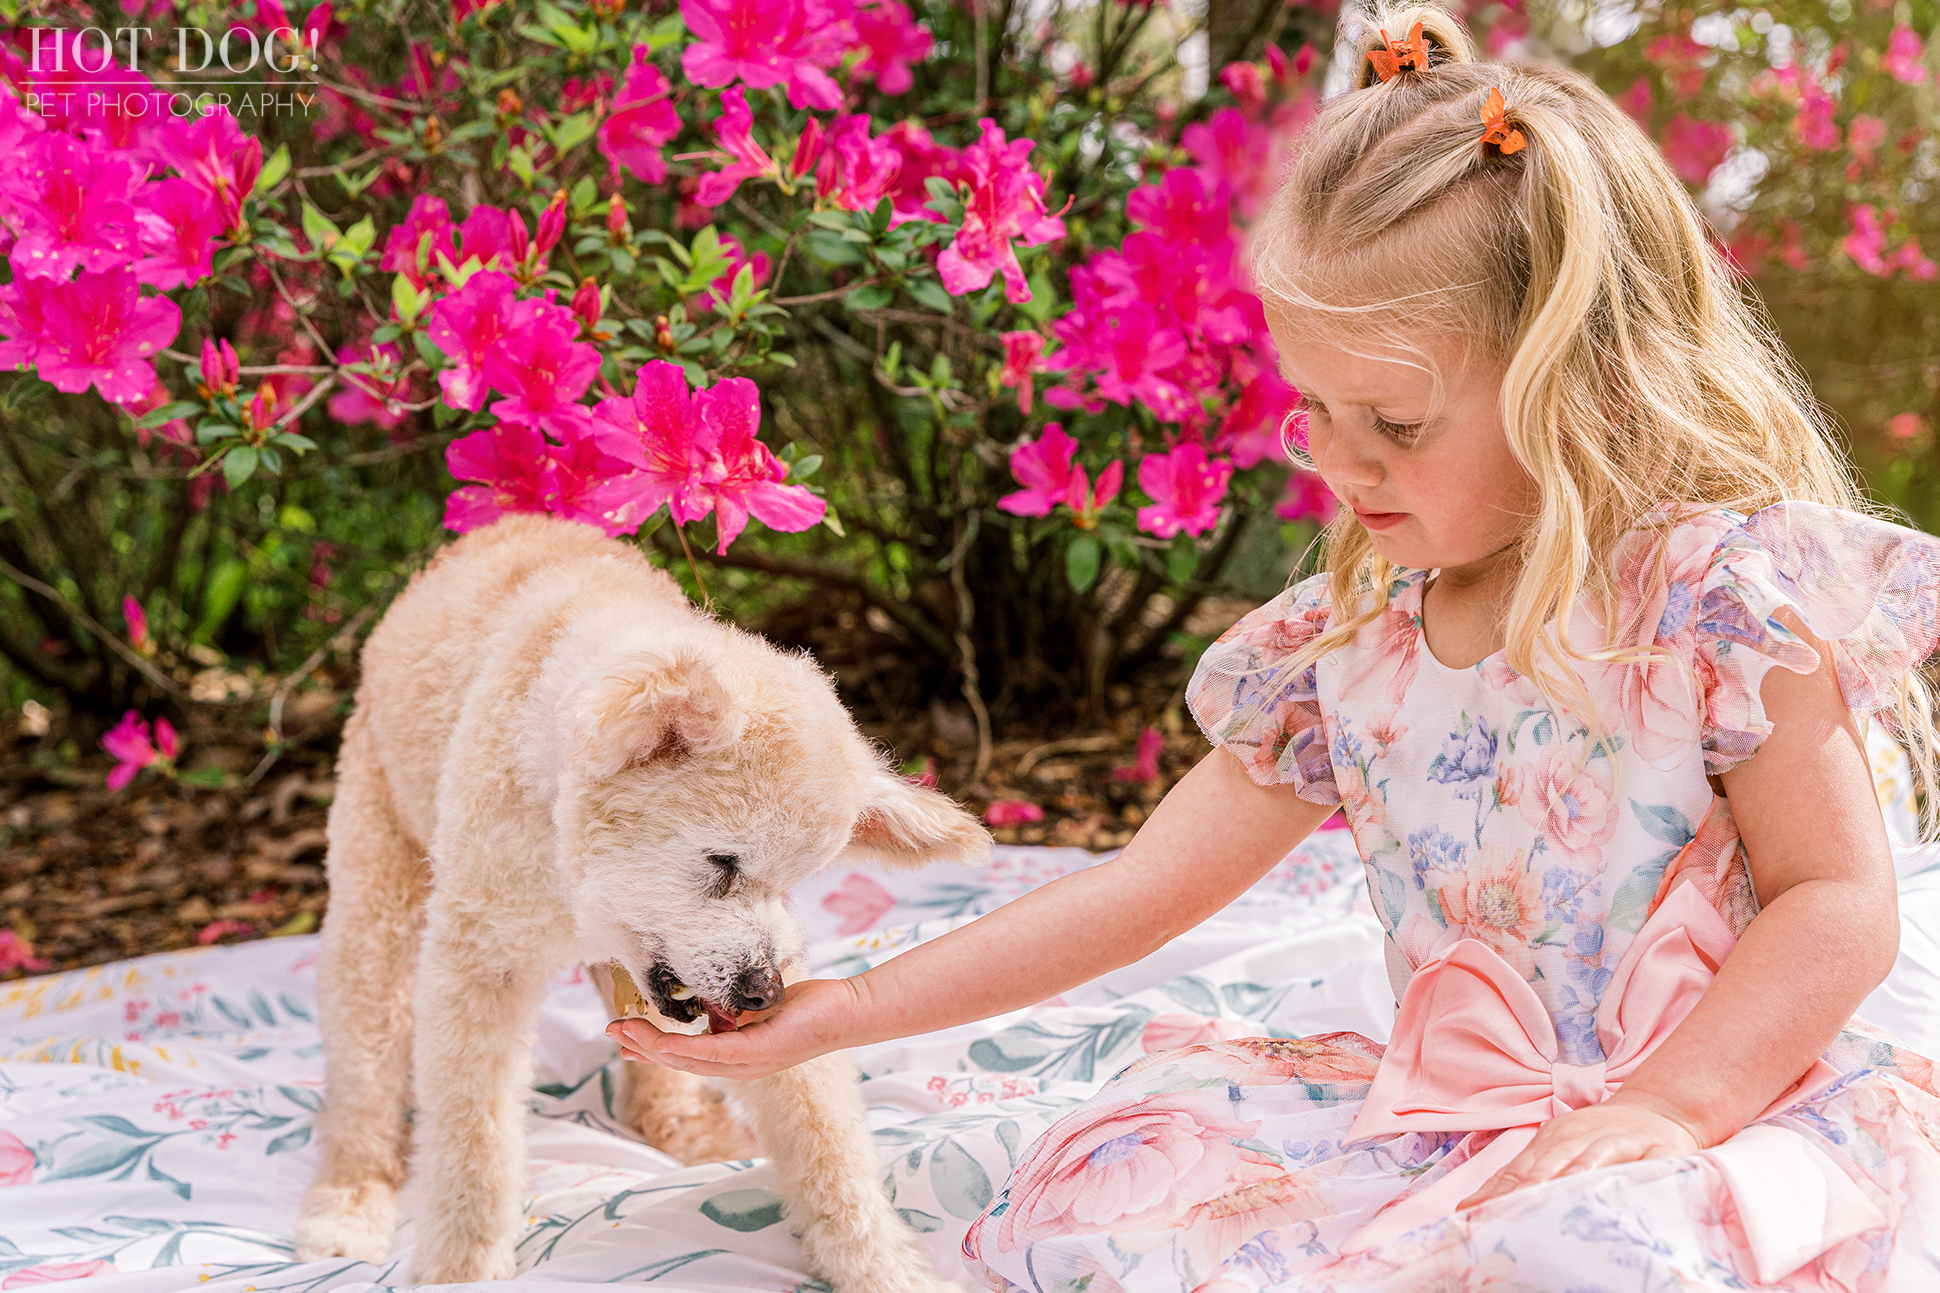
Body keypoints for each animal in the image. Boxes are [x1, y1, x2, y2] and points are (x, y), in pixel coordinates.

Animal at [294, 508, 993, 1281]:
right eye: (723, 861)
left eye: (792, 887)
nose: (763, 992)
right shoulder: (477, 963)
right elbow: (472, 1140)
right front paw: (462, 1268)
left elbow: (818, 1119)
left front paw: (878, 1263)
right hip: (375, 857)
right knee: (366, 1050)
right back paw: (347, 1203)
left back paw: (684, 1130)